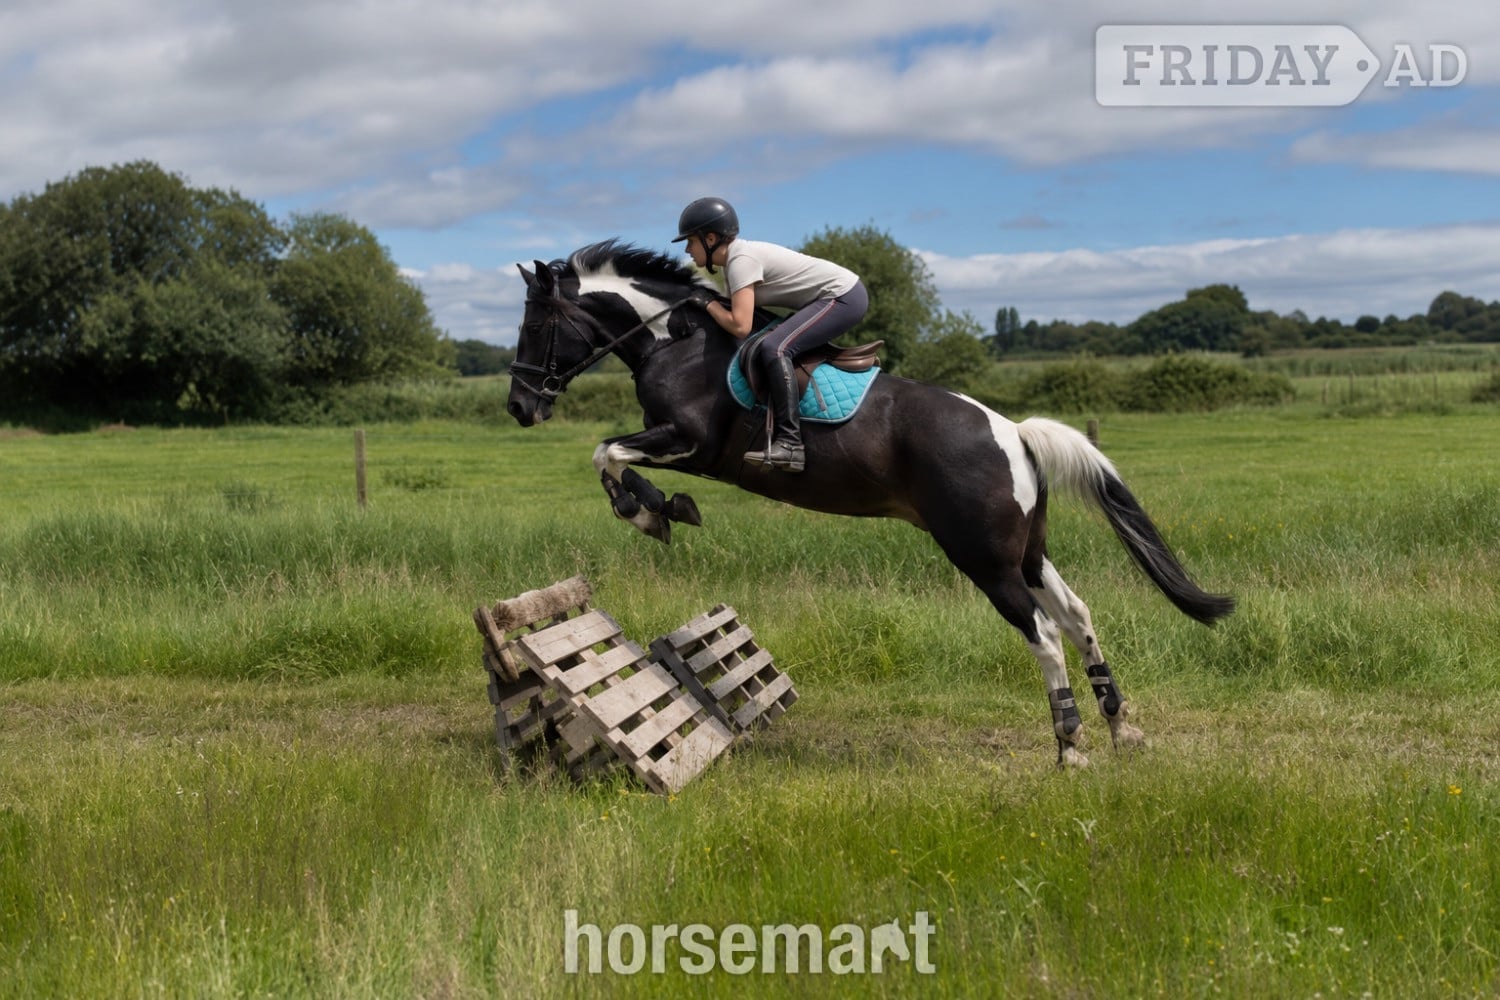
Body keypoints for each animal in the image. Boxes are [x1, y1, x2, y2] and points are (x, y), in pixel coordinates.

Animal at [506, 240, 1234, 767]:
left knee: (1044, 633)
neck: (674, 340)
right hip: (1027, 551)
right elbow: (608, 454)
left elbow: (605, 453)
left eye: (537, 324)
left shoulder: (688, 441)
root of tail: (1014, 433)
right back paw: (1120, 730)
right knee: (1078, 616)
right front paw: (661, 509)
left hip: (984, 559)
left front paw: (652, 510)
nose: (518, 407)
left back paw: (1071, 746)